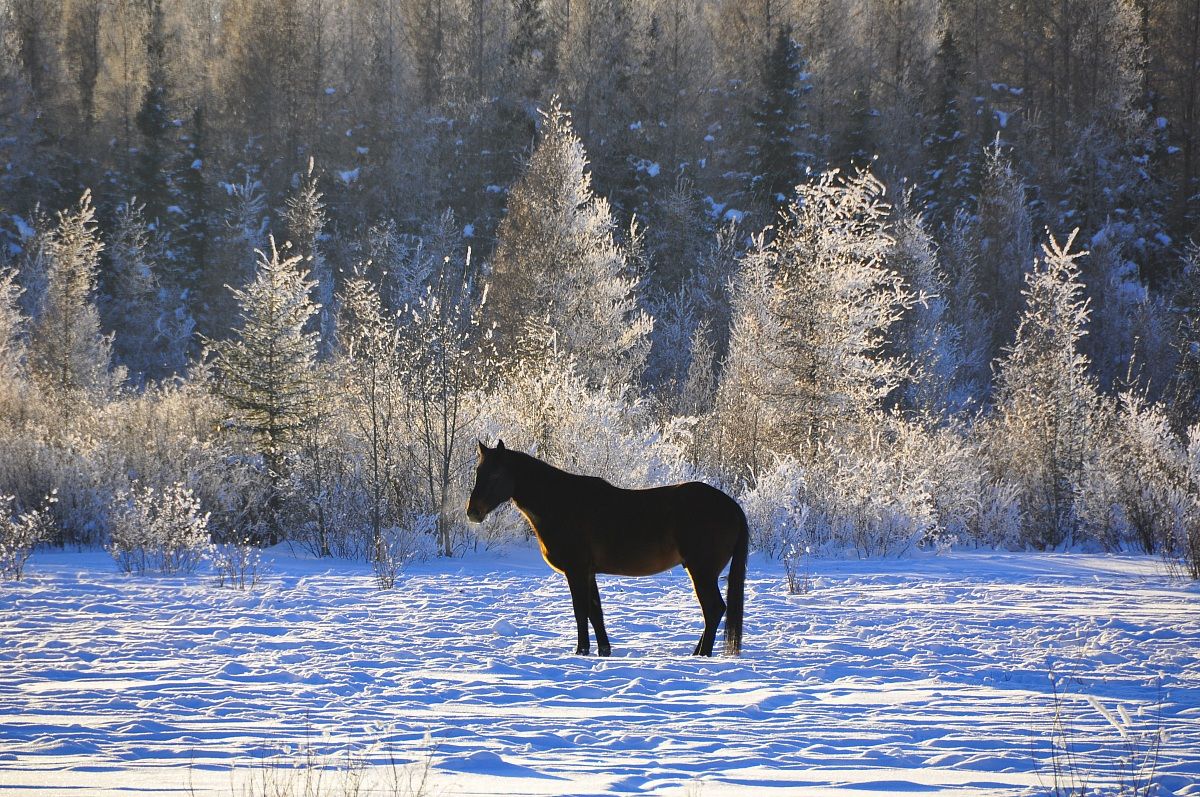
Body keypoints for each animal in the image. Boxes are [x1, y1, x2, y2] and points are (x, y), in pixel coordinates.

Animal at [466, 440, 748, 657]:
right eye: (478, 473)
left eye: (495, 475)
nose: (473, 512)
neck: (561, 504)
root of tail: (731, 506)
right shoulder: (588, 572)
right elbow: (595, 612)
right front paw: (603, 650)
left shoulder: (577, 571)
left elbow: (581, 611)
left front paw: (581, 651)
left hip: (702, 572)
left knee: (714, 609)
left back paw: (702, 654)